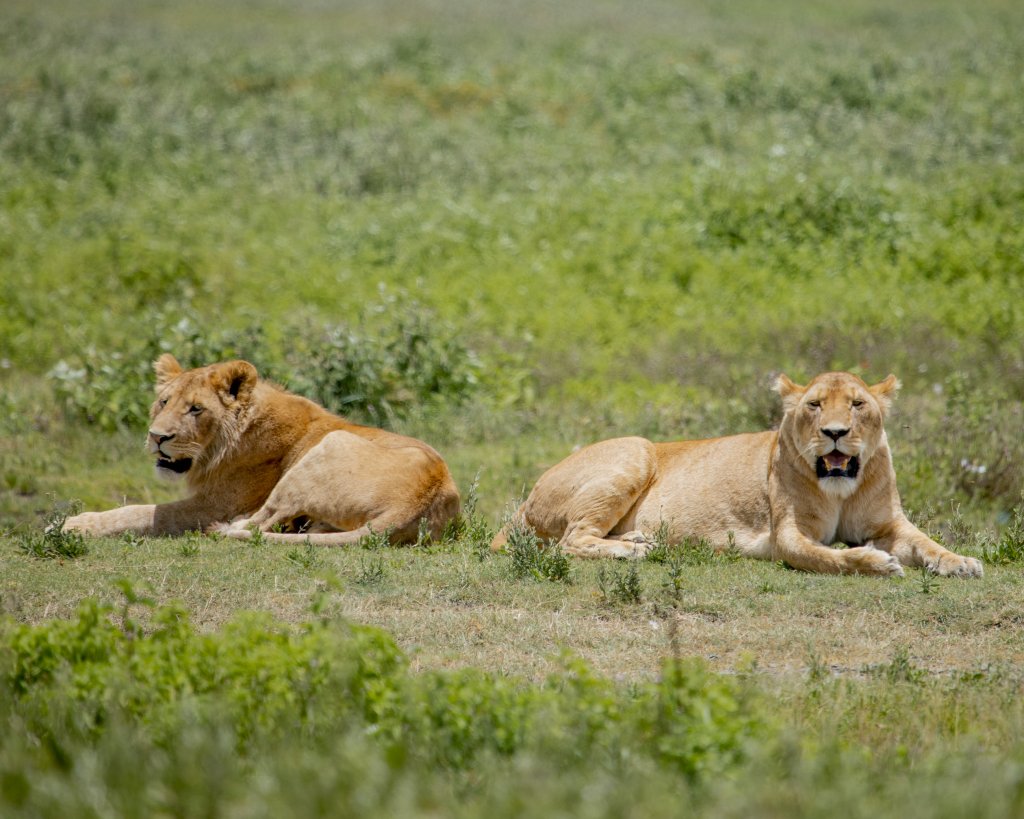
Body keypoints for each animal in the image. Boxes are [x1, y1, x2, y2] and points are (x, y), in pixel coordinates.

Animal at [64, 354, 460, 540]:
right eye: (164, 402)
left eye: (196, 409)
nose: (157, 436)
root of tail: (418, 498)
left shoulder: (213, 504)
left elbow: (141, 512)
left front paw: (74, 524)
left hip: (325, 449)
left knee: (258, 523)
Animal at [493, 370, 983, 577]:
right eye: (814, 404)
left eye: (858, 404)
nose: (835, 433)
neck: (841, 489)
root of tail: (526, 500)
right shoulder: (788, 535)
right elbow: (829, 556)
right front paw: (875, 563)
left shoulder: (889, 524)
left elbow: (926, 543)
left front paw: (961, 562)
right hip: (636, 450)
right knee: (571, 540)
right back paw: (636, 551)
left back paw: (638, 540)